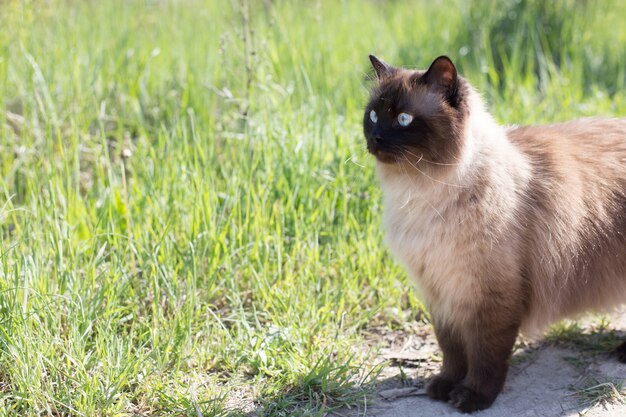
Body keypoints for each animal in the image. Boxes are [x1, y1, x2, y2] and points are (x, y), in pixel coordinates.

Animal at [360, 53, 624, 412]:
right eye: (373, 115)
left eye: (403, 119)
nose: (375, 138)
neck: (422, 195)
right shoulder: (441, 292)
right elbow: (453, 352)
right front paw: (444, 387)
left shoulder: (491, 296)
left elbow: (485, 356)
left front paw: (471, 397)